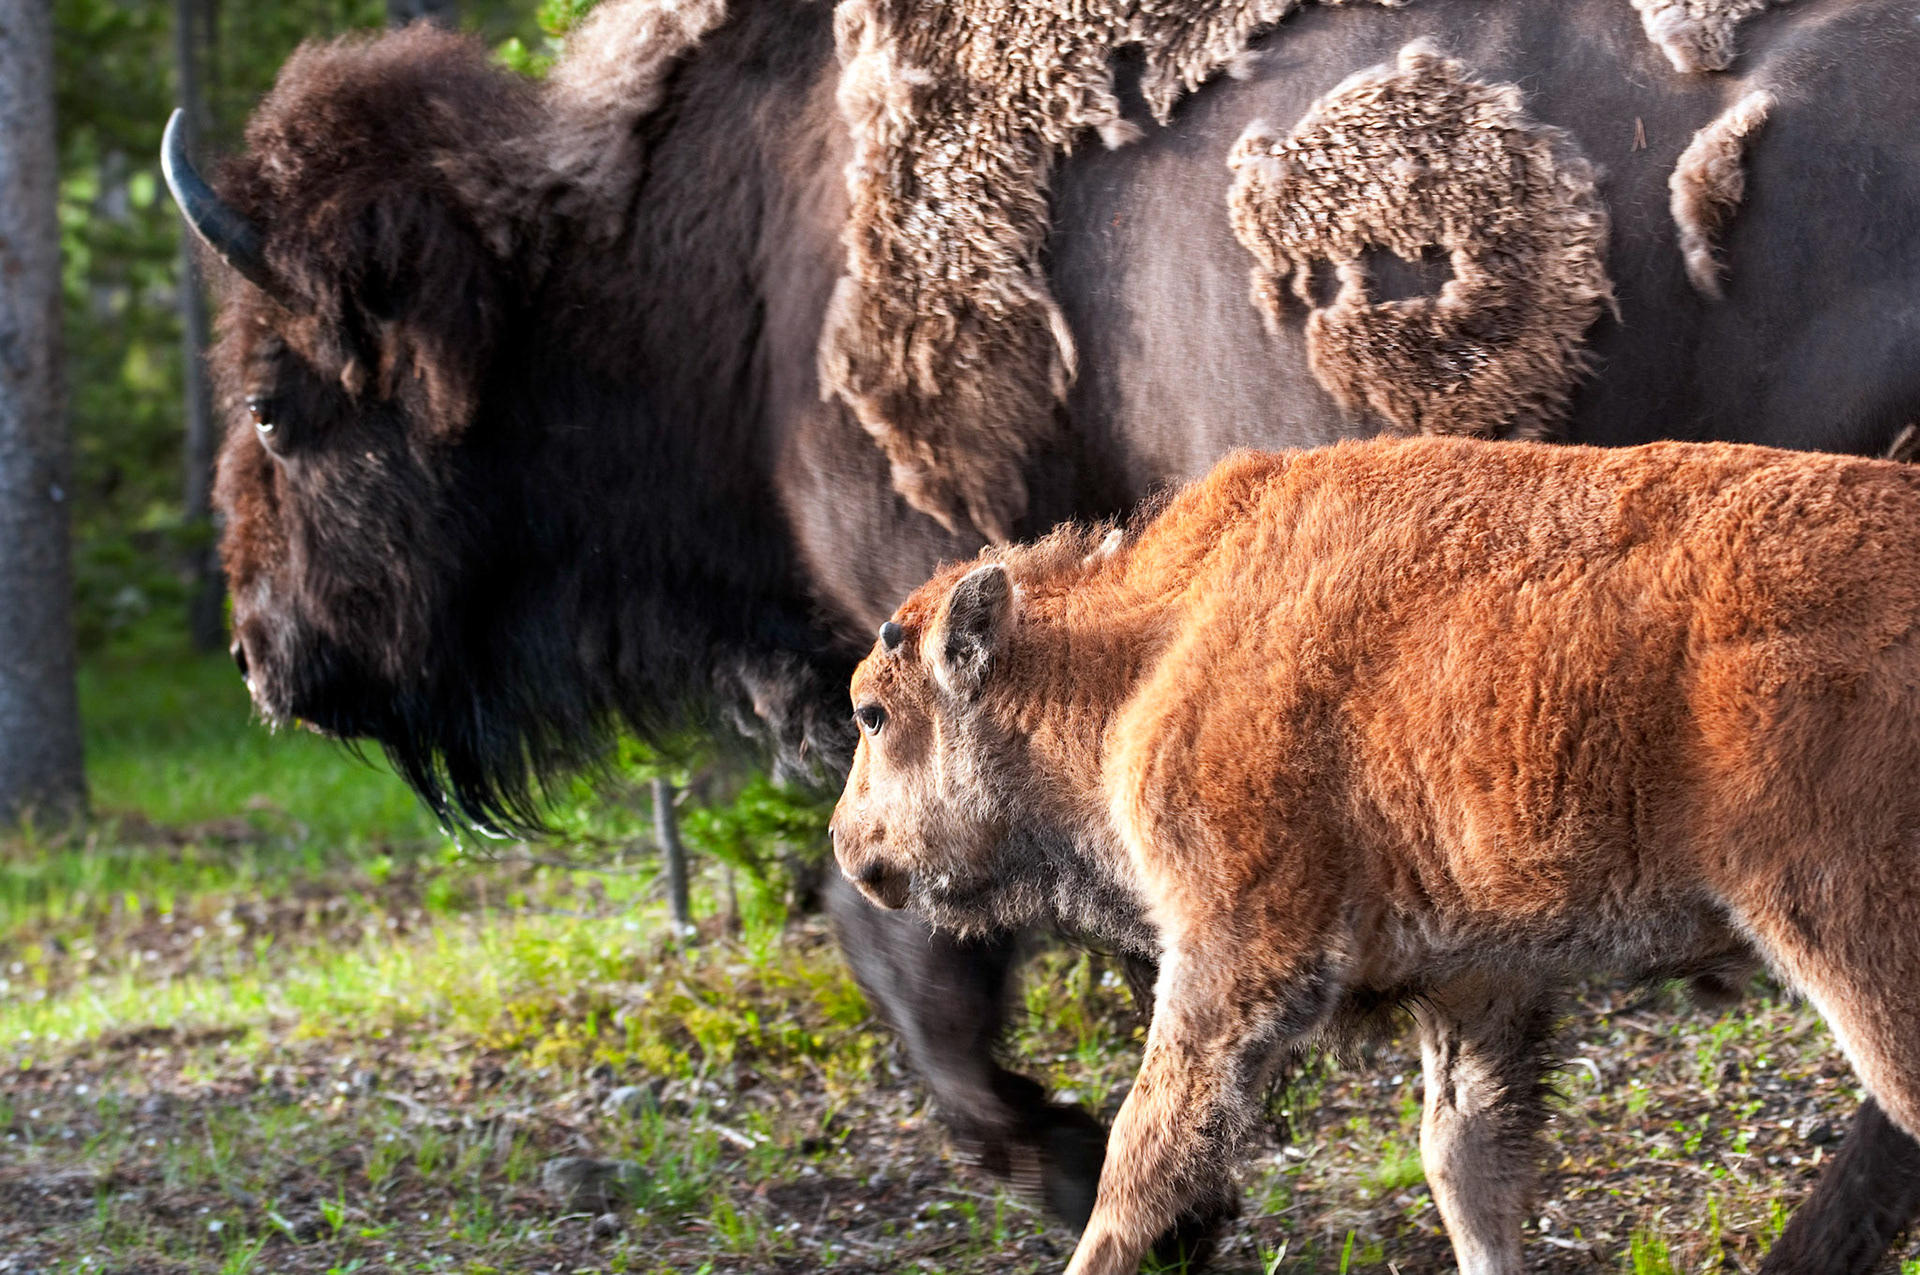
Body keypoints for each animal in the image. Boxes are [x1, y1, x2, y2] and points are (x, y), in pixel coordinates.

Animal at [830, 435, 1920, 1275]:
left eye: (874, 712)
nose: (849, 847)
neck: (1152, 648)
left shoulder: (1235, 956)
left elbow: (1142, 1161)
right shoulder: (1480, 983)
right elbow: (1465, 1162)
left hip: (1850, 934)